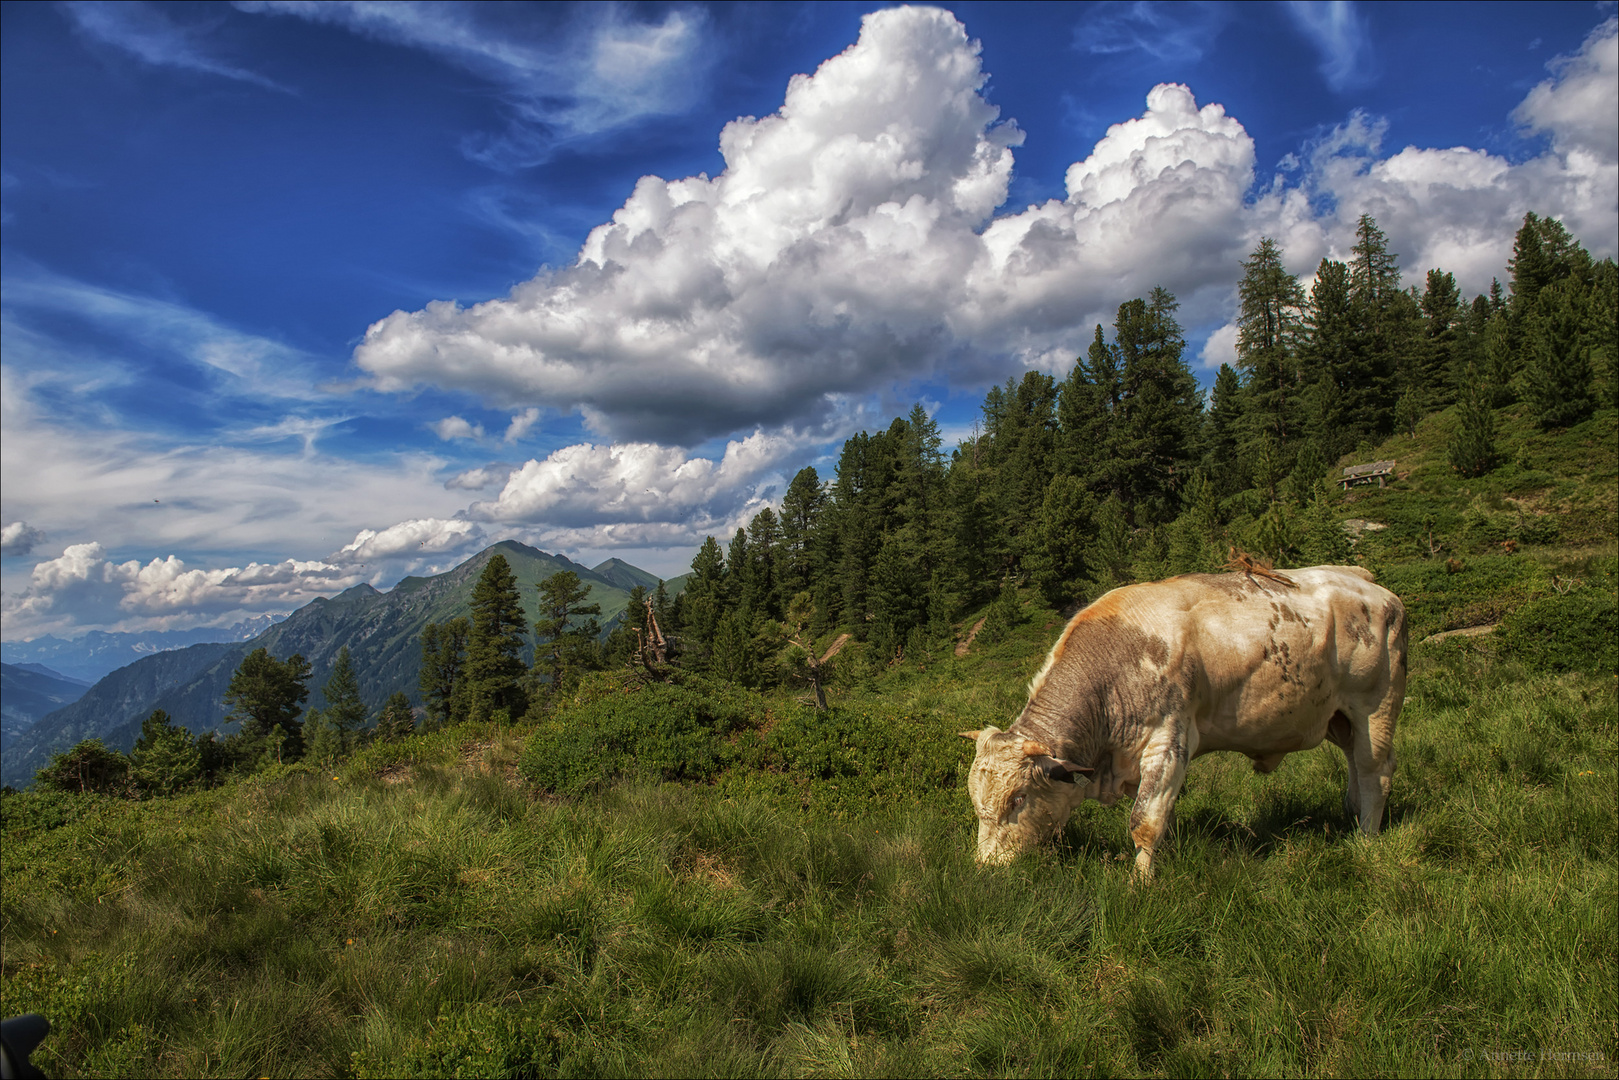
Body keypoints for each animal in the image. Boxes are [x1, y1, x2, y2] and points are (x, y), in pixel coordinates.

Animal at [958, 566, 1405, 880]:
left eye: (1018, 800)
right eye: (976, 803)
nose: (988, 870)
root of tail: (1368, 583)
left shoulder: (1169, 740)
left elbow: (1145, 822)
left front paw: (1139, 884)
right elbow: (1164, 813)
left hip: (1376, 705)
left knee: (1375, 771)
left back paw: (1366, 839)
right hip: (1339, 719)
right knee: (1354, 764)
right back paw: (1351, 814)